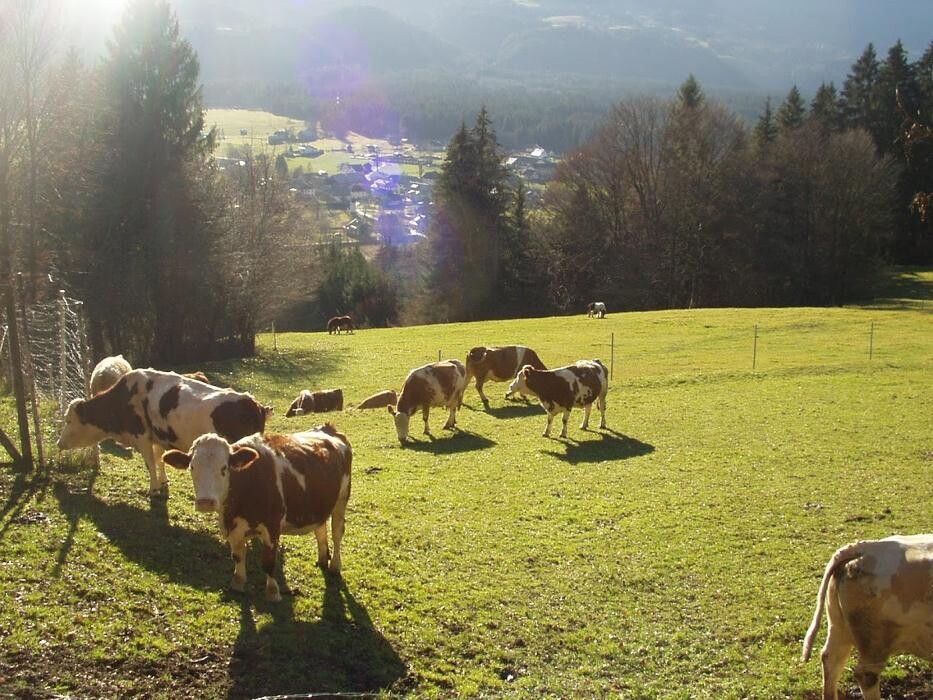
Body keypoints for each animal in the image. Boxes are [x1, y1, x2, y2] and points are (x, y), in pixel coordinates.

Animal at [57, 366, 266, 498]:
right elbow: (160, 459)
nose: (59, 443)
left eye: (68, 420)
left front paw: (153, 489)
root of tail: (251, 402)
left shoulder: (141, 436)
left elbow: (150, 463)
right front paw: (164, 482)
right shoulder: (158, 437)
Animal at [162, 424, 352, 600]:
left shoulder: (272, 527)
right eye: (192, 467)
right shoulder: (232, 528)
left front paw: (273, 592)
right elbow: (237, 556)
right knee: (320, 530)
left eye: (224, 468)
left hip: (341, 500)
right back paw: (322, 559)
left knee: (337, 533)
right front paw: (238, 584)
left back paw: (335, 566)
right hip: (320, 506)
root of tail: (328, 429)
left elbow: (268, 562)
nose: (205, 503)